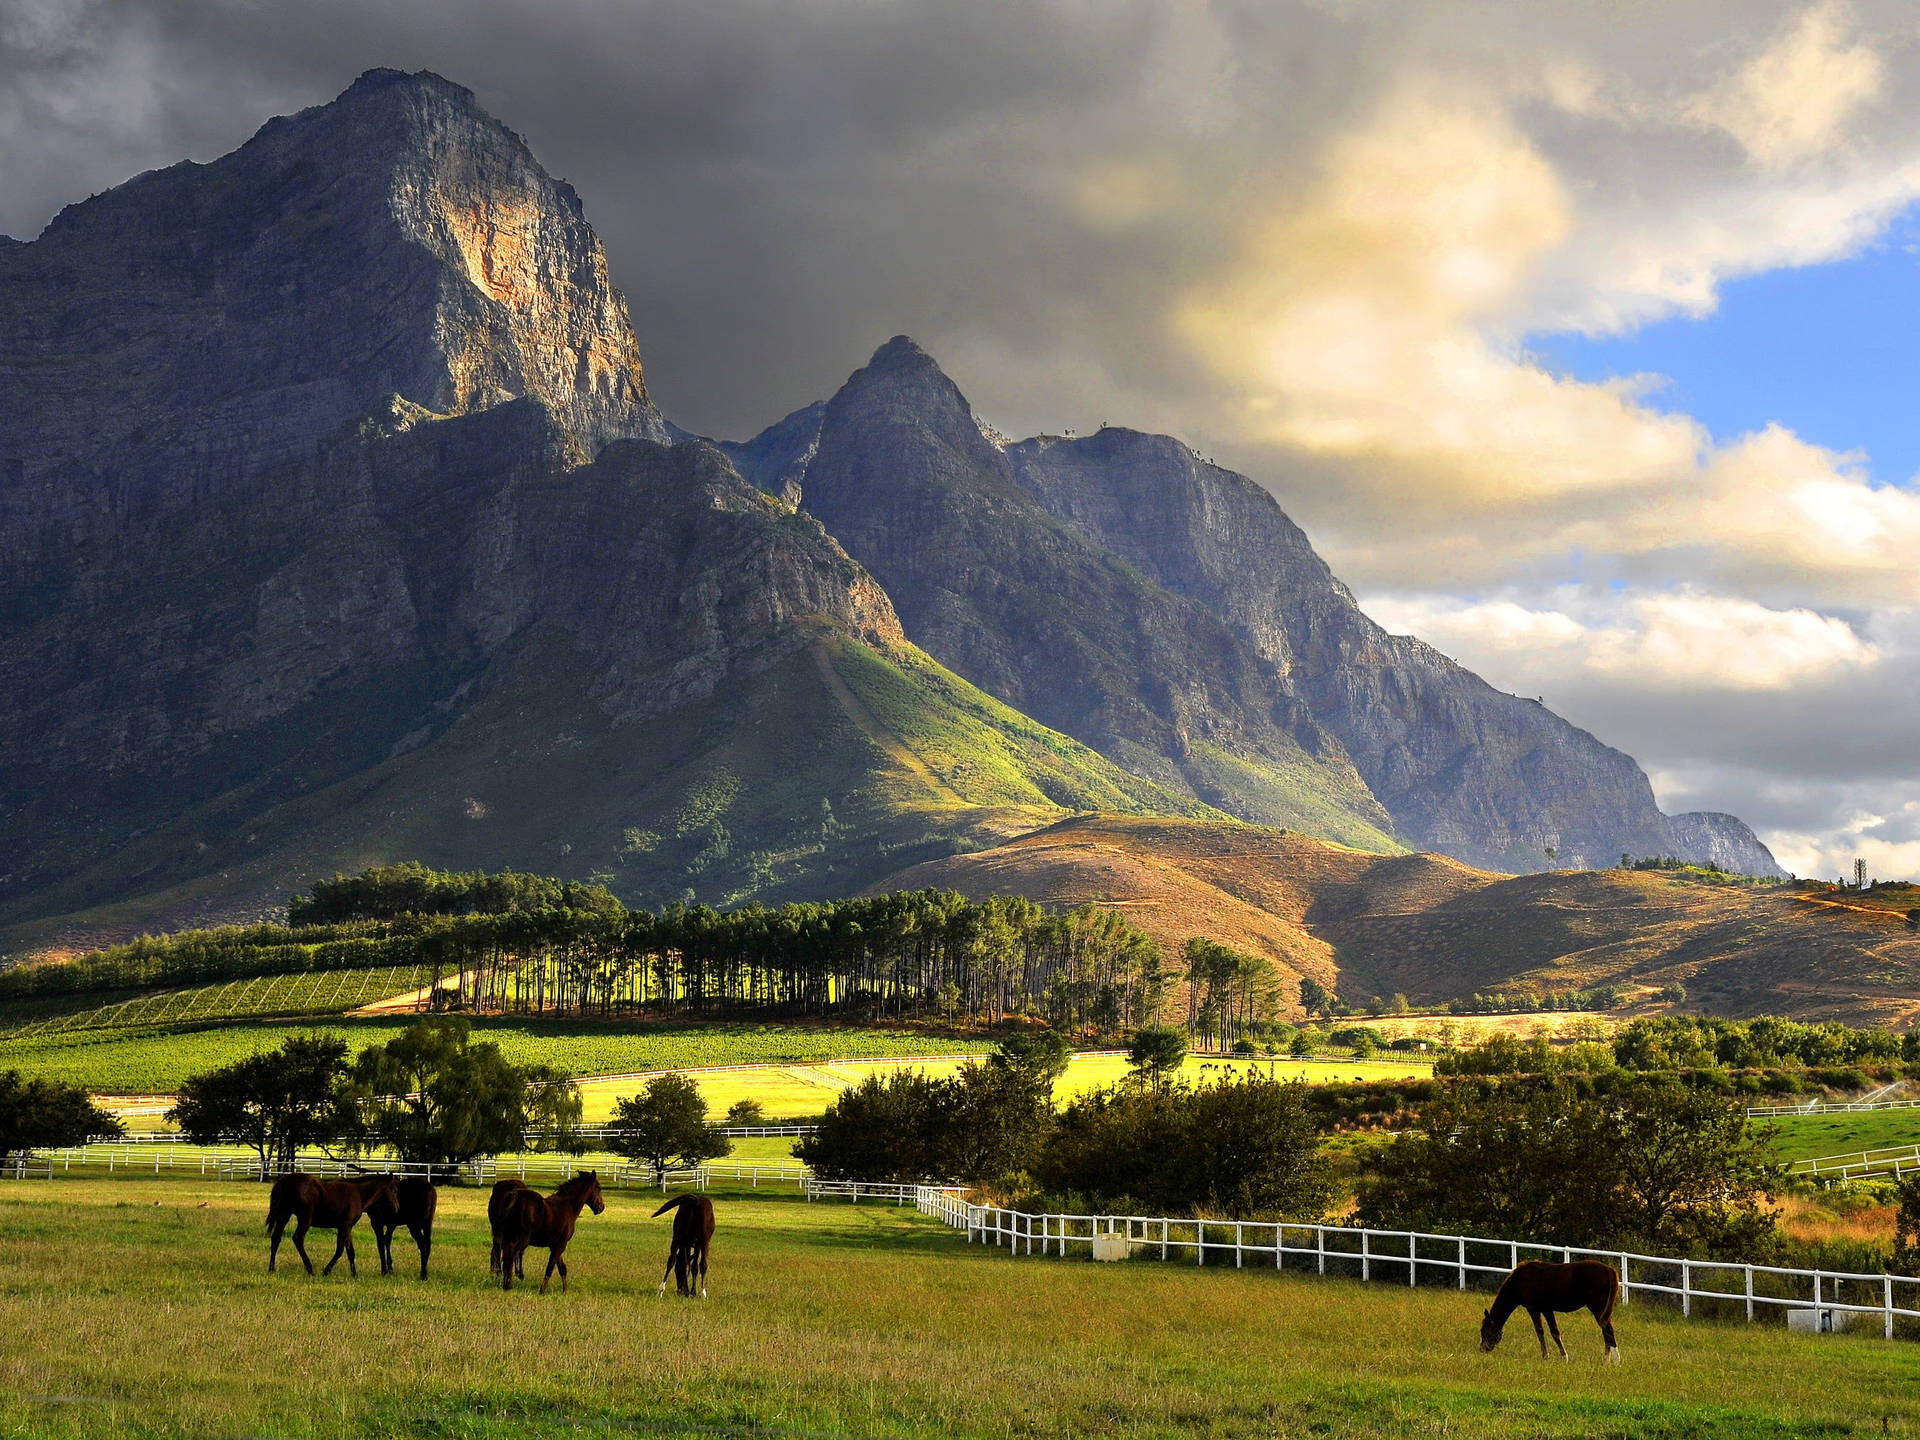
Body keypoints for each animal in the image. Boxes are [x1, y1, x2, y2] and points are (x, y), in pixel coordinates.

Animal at [264, 1175, 395, 1282]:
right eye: (394, 1190)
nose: (395, 1208)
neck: (358, 1193)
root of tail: (284, 1181)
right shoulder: (344, 1226)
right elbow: (340, 1250)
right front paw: (326, 1271)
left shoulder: (348, 1227)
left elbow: (350, 1251)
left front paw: (354, 1275)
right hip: (305, 1218)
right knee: (297, 1238)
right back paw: (310, 1270)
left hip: (284, 1215)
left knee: (276, 1238)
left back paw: (272, 1269)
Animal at [1482, 1259, 1620, 1367]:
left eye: (1485, 1331)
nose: (1482, 1349)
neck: (1521, 1281)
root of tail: (1609, 1270)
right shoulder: (1547, 1309)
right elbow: (1555, 1332)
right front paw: (1564, 1357)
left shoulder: (1534, 1309)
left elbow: (1540, 1331)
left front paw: (1546, 1356)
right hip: (1604, 1311)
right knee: (1606, 1330)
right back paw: (1606, 1360)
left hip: (1598, 1309)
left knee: (1608, 1330)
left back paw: (1615, 1360)